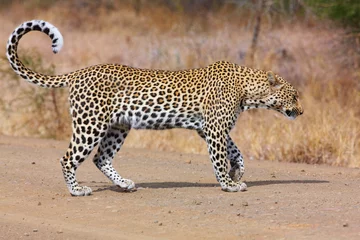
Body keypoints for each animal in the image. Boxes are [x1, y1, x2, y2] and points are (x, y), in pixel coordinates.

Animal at [5, 19, 304, 196]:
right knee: (69, 158)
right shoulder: (215, 129)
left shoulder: (208, 128)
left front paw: (237, 171)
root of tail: (79, 72)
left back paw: (124, 184)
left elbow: (236, 151)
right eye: (294, 95)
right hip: (90, 124)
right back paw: (77, 189)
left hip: (118, 126)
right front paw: (229, 184)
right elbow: (220, 157)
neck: (248, 90)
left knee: (101, 158)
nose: (302, 112)